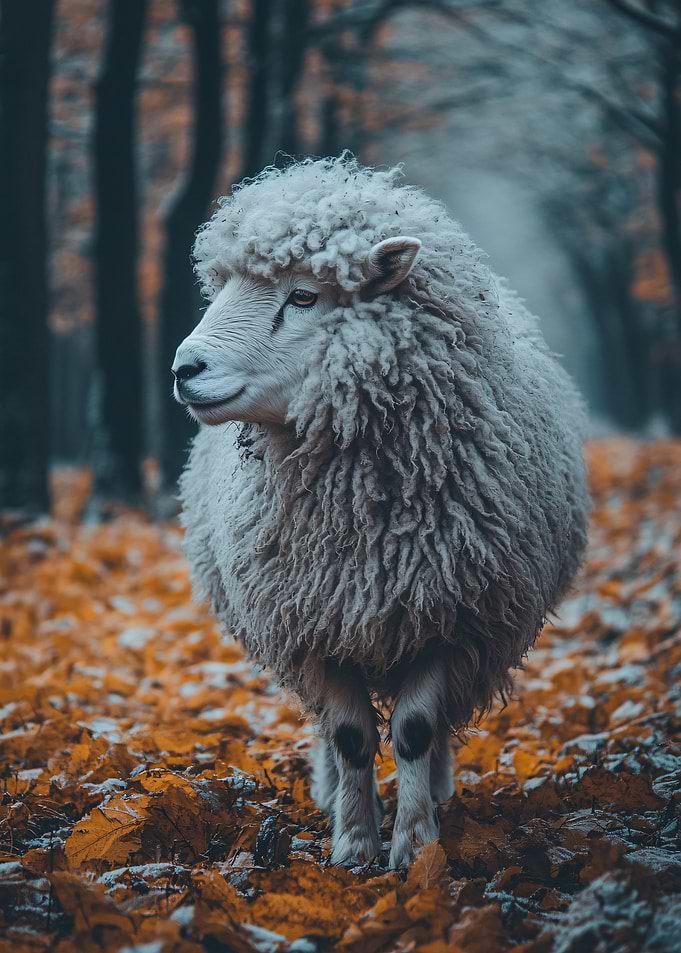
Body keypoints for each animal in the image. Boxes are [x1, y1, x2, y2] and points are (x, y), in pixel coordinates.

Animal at [173, 155, 590, 869]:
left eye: (304, 296)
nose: (183, 368)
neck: (368, 520)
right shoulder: (313, 624)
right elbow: (349, 734)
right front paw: (353, 845)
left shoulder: (454, 616)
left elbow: (416, 728)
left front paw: (415, 846)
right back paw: (330, 790)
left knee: (433, 723)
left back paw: (440, 791)